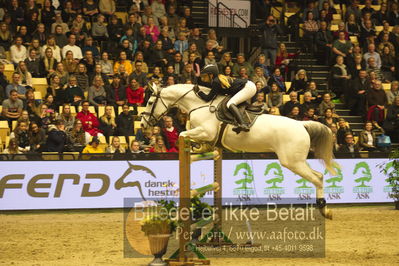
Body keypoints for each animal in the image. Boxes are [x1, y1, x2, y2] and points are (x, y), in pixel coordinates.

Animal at [142, 83, 336, 218]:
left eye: (150, 102)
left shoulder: (206, 131)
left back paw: (324, 210)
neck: (199, 105)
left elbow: (183, 133)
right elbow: (195, 138)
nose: (144, 124)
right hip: (296, 161)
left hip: (292, 161)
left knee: (317, 178)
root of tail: (301, 125)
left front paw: (193, 145)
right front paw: (200, 146)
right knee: (318, 176)